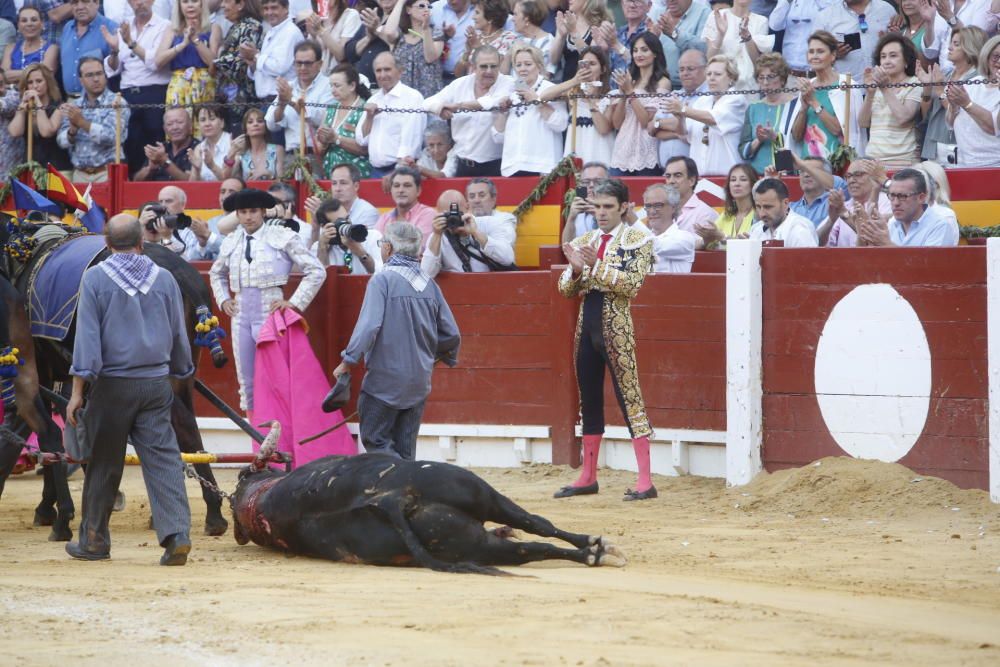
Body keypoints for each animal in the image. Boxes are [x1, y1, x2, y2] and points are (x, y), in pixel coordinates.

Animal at [0, 236, 230, 544]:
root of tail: (181, 271)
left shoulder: (46, 371)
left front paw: (53, 509)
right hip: (183, 371)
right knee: (186, 430)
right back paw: (204, 512)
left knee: (181, 426)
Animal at [234, 422, 624, 576]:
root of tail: (393, 498)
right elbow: (538, 525)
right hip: (481, 494)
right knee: (536, 530)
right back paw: (597, 551)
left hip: (469, 540)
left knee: (527, 544)